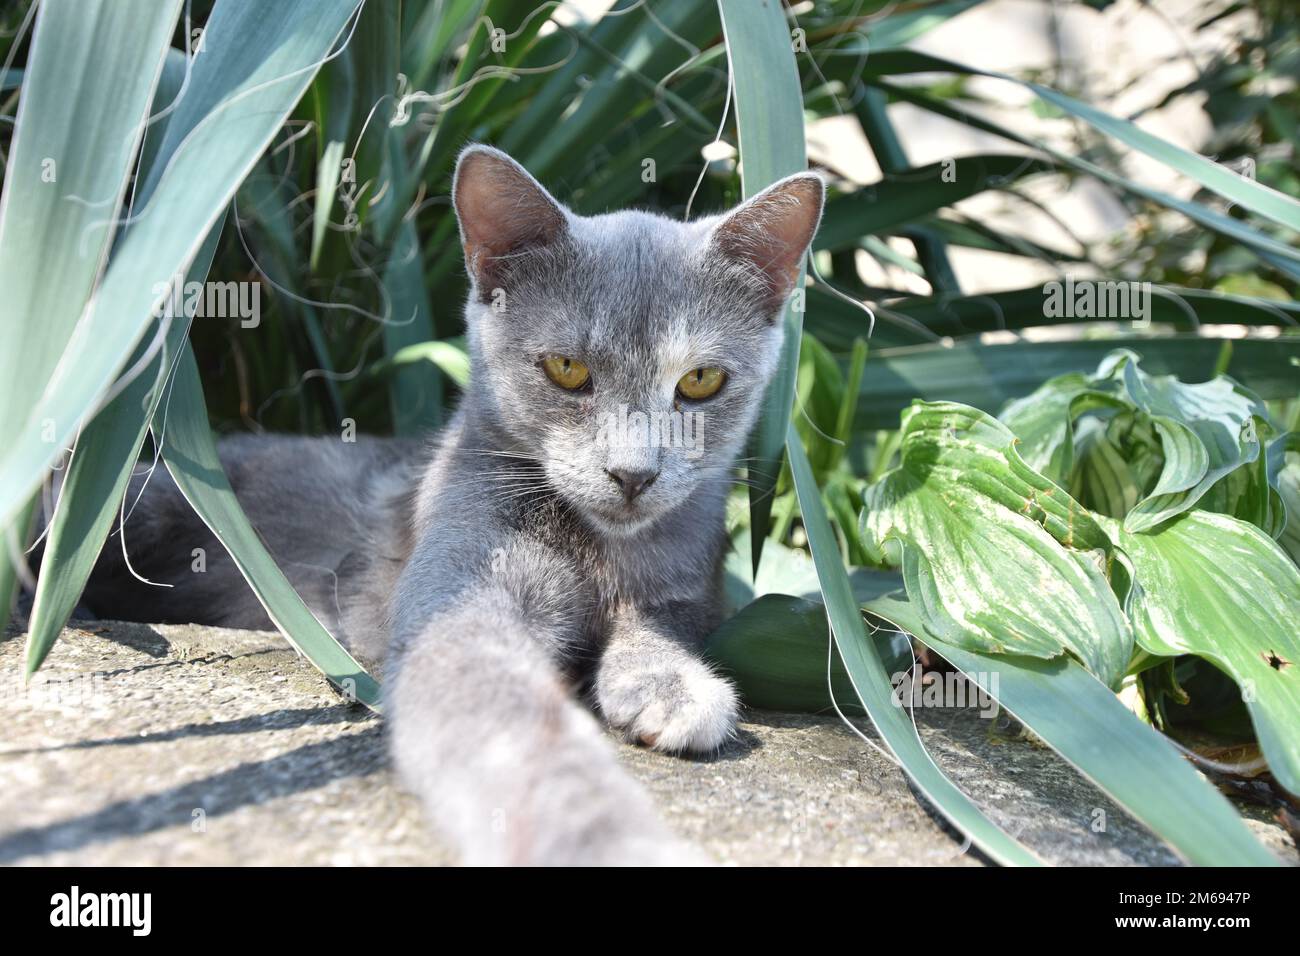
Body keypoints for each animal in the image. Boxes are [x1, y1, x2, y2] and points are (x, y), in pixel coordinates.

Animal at [73, 143, 821, 868]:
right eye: (567, 370)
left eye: (701, 380)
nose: (633, 473)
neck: (596, 549)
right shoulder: (462, 584)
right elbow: (504, 718)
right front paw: (600, 836)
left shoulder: (690, 582)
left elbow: (660, 625)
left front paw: (670, 686)